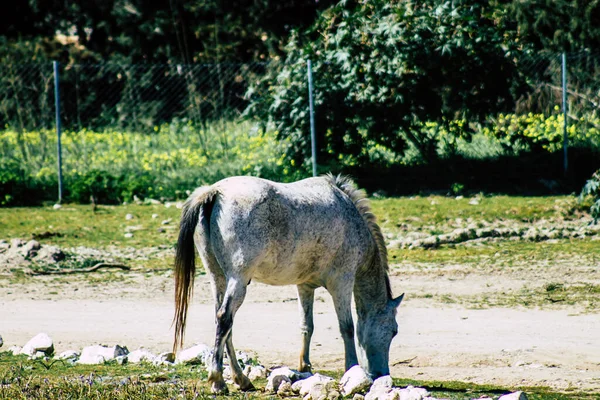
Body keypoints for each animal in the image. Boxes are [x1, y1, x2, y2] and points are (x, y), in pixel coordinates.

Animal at [173, 174, 404, 394]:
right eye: (394, 331)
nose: (381, 374)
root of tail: (214, 192)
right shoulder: (342, 282)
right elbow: (347, 327)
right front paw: (351, 367)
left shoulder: (305, 286)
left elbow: (307, 325)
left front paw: (304, 367)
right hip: (238, 280)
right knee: (224, 319)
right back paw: (218, 380)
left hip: (218, 277)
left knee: (223, 322)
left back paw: (241, 378)